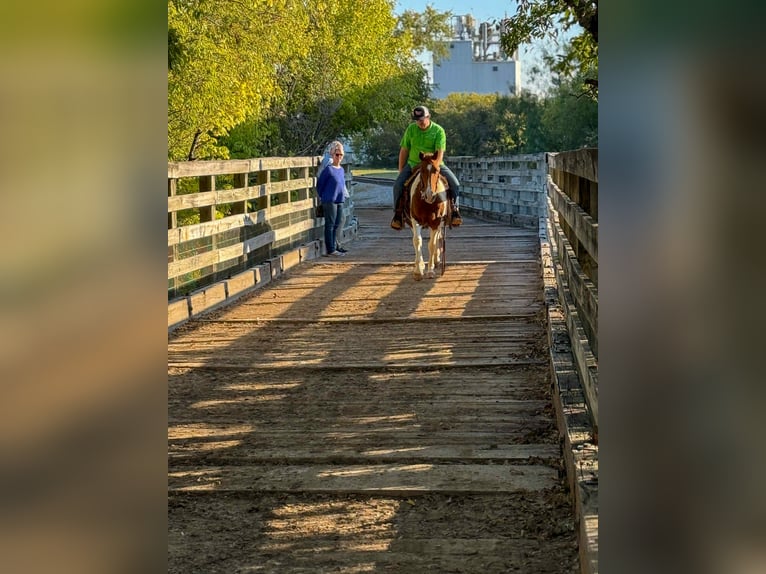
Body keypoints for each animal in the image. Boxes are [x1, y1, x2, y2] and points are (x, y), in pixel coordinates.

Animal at [403, 151, 451, 280]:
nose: (430, 194)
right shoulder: (415, 220)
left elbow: (432, 244)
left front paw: (430, 270)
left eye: (437, 170)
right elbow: (417, 241)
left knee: (438, 237)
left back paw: (436, 260)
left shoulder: (436, 222)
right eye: (422, 170)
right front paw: (418, 270)